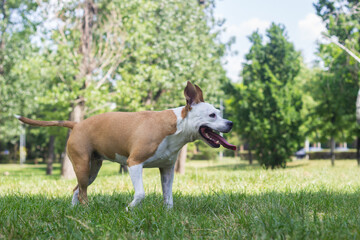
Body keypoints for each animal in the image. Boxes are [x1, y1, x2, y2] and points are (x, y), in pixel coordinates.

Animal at [15, 81, 236, 209]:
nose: (230, 123)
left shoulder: (167, 169)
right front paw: (130, 208)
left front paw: (168, 213)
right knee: (83, 192)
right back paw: (86, 210)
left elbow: (168, 196)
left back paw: (74, 210)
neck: (176, 126)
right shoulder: (134, 163)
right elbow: (141, 193)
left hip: (91, 169)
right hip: (82, 165)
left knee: (77, 189)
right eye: (212, 115)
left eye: (219, 112)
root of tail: (77, 124)